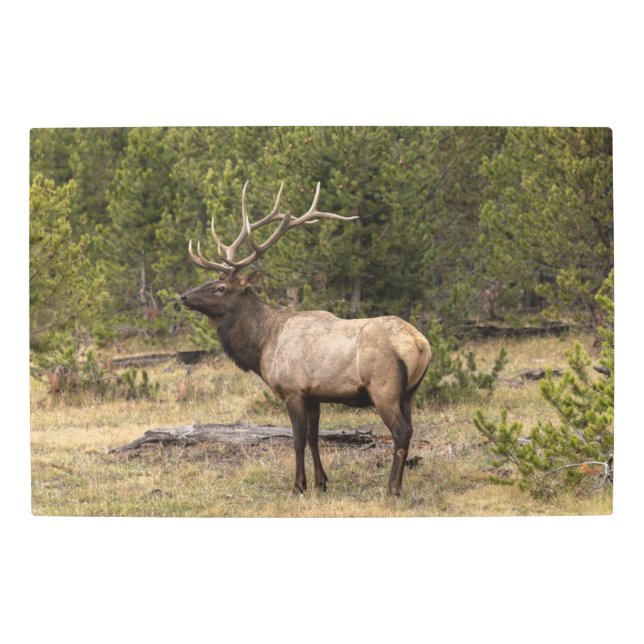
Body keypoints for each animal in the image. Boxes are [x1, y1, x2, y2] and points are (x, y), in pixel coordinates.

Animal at [180, 182, 431, 495]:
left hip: (384, 388)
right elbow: (314, 437)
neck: (263, 346)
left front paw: (298, 484)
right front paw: (321, 482)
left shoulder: (293, 390)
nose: (183, 296)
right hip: (410, 392)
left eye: (220, 287)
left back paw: (391, 488)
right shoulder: (314, 395)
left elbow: (297, 438)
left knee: (400, 432)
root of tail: (420, 343)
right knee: (409, 430)